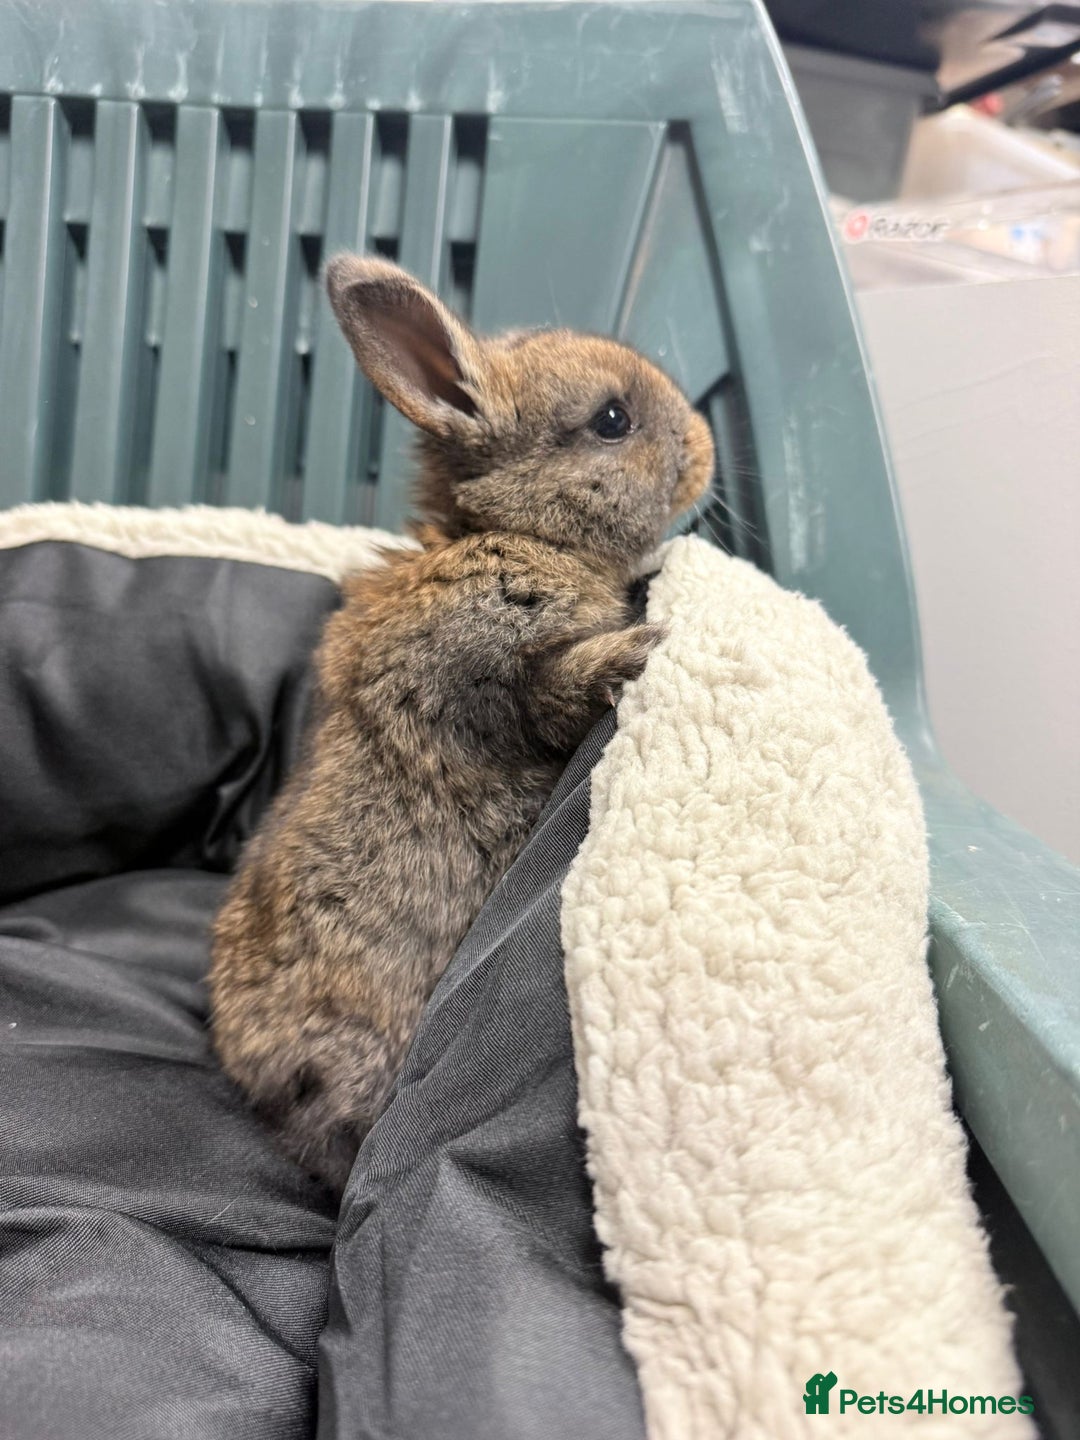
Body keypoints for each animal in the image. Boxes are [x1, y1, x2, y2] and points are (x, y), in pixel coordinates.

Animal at [209, 255, 715, 1195]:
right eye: (613, 420)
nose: (703, 444)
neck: (514, 530)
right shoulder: (491, 679)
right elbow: (556, 690)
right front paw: (638, 648)